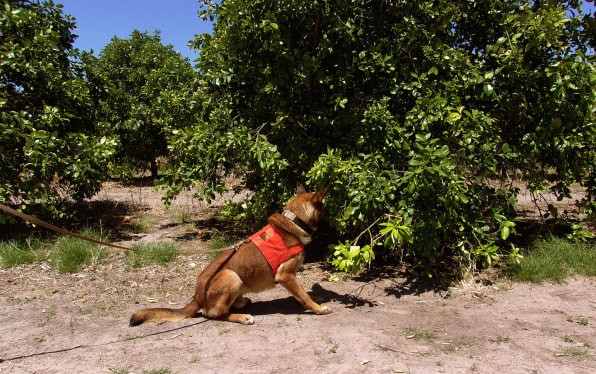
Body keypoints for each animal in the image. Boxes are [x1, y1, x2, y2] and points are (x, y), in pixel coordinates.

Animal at [129, 186, 330, 326]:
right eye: (324, 208)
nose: (333, 220)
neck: (294, 222)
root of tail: (197, 295)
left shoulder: (291, 277)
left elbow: (303, 292)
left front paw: (316, 298)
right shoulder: (285, 276)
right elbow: (303, 295)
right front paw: (317, 308)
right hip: (230, 276)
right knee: (214, 314)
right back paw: (241, 317)